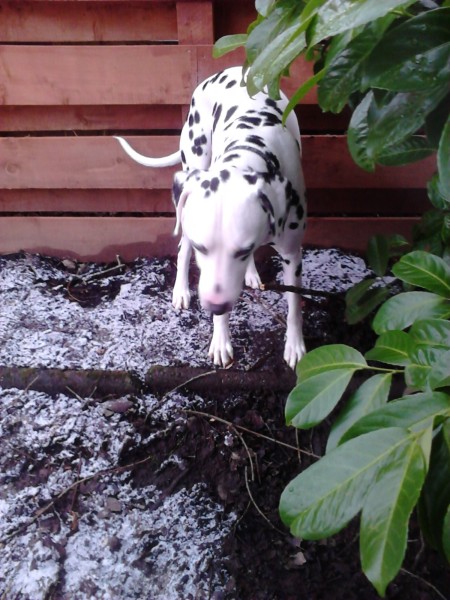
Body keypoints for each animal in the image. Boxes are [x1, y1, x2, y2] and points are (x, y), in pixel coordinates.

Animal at [114, 64, 308, 366]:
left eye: (242, 250)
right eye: (201, 248)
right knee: (181, 247)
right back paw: (181, 290)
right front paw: (220, 340)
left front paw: (295, 345)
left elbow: (294, 303)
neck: (253, 150)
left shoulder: (292, 253)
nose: (215, 305)